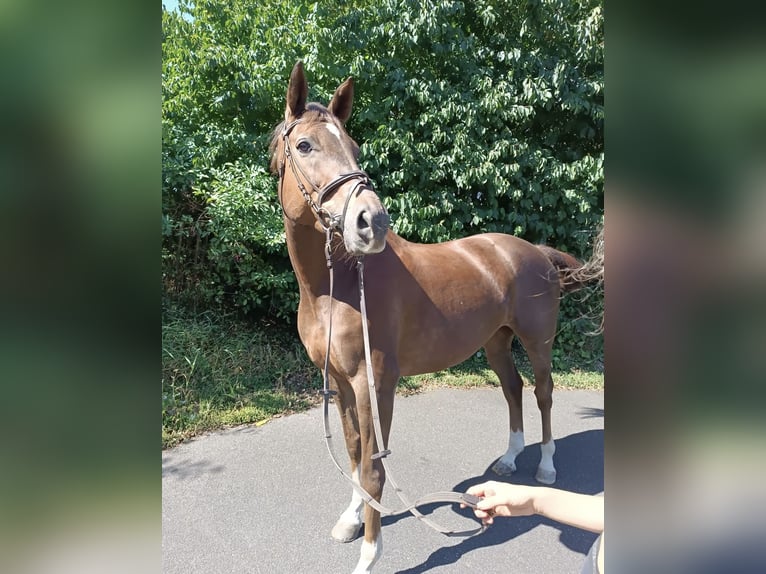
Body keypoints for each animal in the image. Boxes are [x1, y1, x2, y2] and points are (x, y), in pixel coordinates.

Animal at [272, 63, 584, 574]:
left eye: (354, 146)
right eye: (304, 145)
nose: (371, 222)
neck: (337, 289)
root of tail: (535, 251)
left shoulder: (374, 383)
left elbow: (374, 467)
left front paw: (369, 555)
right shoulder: (338, 381)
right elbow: (355, 453)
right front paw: (351, 518)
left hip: (537, 341)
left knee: (542, 392)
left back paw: (546, 466)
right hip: (495, 341)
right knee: (513, 389)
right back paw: (509, 460)